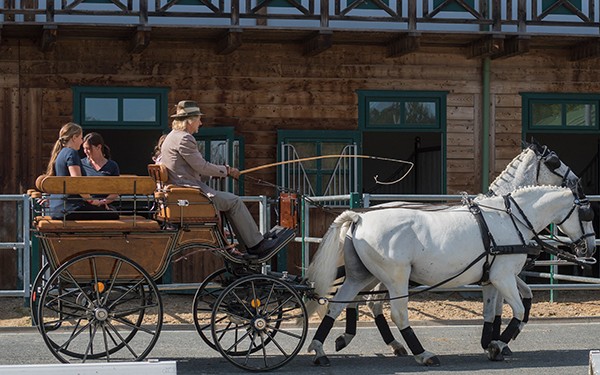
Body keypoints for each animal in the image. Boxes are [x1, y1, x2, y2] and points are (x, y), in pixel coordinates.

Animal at [308, 185, 596, 368]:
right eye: (587, 214)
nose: (590, 249)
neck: (510, 220)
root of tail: (359, 218)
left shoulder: (492, 279)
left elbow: (493, 312)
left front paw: (491, 343)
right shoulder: (503, 277)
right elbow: (517, 310)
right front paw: (499, 344)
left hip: (361, 275)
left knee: (338, 305)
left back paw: (320, 349)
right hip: (395, 278)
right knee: (397, 314)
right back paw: (423, 354)